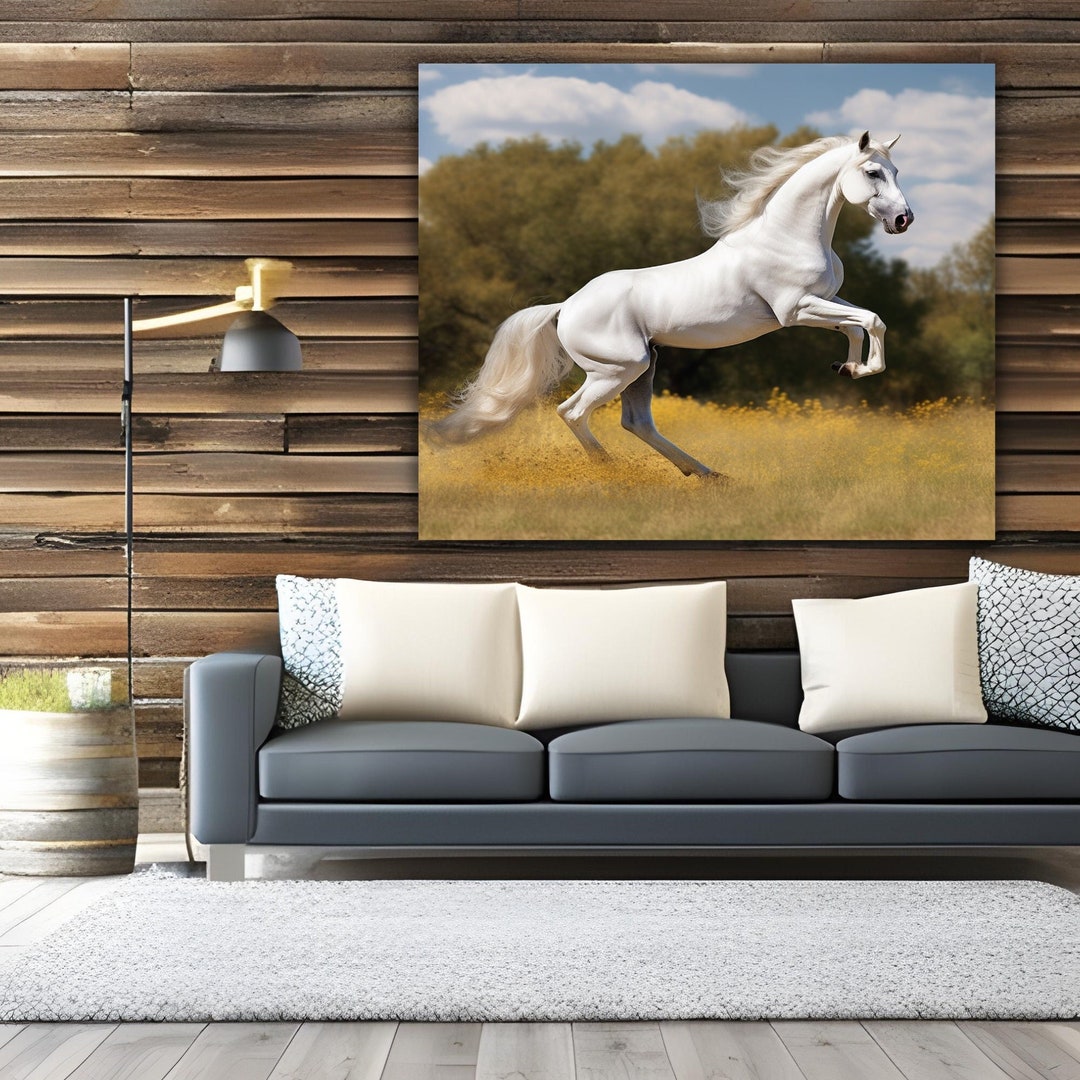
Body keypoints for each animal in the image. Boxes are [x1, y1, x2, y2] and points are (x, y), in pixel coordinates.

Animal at [432, 131, 913, 479]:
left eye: (896, 170)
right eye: (873, 172)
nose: (903, 219)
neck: (787, 234)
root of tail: (565, 307)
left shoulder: (824, 300)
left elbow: (858, 324)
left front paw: (848, 368)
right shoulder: (796, 310)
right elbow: (873, 320)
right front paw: (863, 368)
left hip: (644, 366)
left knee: (637, 422)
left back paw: (706, 474)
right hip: (617, 369)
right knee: (573, 412)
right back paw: (614, 473)